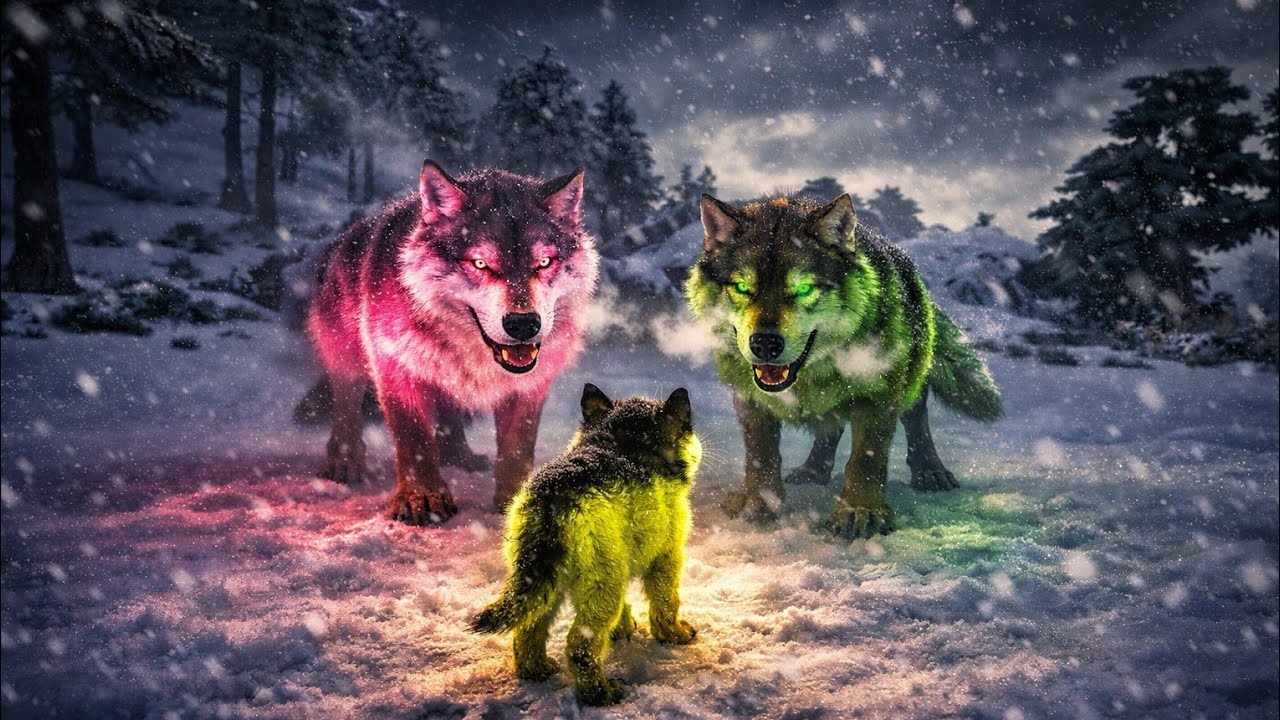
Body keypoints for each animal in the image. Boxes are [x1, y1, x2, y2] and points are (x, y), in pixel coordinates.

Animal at [307, 160, 599, 525]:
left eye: (543, 262)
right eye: (480, 263)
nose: (523, 324)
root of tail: (345, 235)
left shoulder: (531, 384)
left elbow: (517, 447)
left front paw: (517, 500)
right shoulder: (394, 365)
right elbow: (415, 438)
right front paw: (421, 498)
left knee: (449, 409)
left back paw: (461, 456)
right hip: (346, 354)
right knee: (346, 404)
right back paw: (344, 462)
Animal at [471, 384, 701, 706]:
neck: (628, 448)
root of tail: (554, 496)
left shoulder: (623, 558)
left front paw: (623, 629)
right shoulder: (666, 557)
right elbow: (666, 602)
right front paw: (673, 635)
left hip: (544, 578)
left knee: (529, 627)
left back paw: (536, 670)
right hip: (601, 582)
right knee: (580, 644)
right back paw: (601, 694)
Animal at [685, 193, 1002, 539]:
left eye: (804, 288)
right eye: (742, 287)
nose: (765, 344)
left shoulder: (881, 392)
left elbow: (866, 459)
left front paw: (860, 512)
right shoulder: (749, 396)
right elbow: (760, 452)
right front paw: (758, 502)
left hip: (912, 377)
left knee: (917, 419)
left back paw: (930, 471)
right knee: (830, 428)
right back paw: (813, 470)